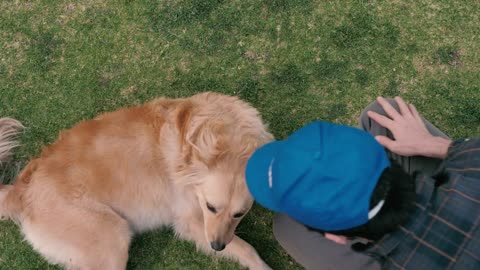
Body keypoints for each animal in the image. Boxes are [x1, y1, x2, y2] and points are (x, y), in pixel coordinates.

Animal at [0, 92, 274, 268]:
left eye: (239, 214)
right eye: (210, 207)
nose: (217, 246)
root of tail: (21, 190)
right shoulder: (192, 220)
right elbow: (245, 247)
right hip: (111, 238)